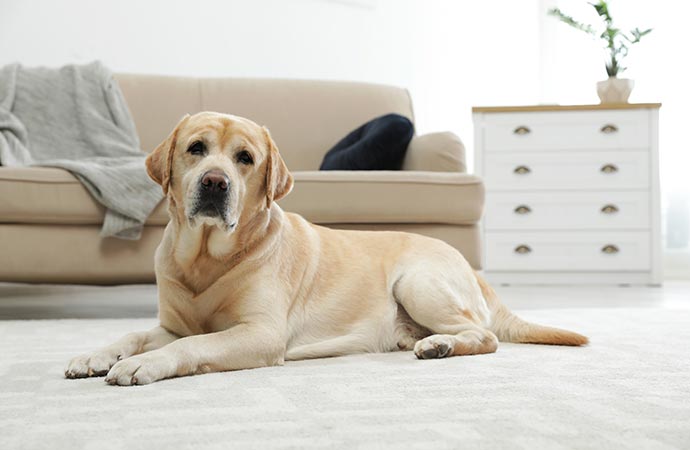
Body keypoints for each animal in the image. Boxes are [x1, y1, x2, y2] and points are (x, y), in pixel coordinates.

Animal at [64, 112, 584, 386]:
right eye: (196, 149)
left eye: (245, 158)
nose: (215, 182)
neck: (207, 259)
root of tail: (468, 266)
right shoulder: (170, 324)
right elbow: (134, 333)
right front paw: (96, 355)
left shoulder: (260, 334)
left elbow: (194, 344)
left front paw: (143, 364)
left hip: (416, 282)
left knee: (485, 335)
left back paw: (440, 345)